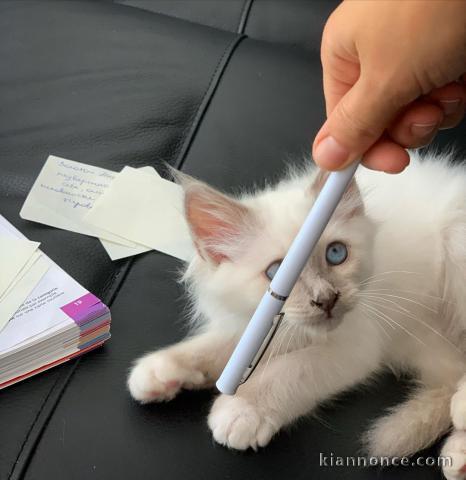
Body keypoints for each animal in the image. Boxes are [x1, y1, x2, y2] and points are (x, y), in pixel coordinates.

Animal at [128, 151, 466, 480]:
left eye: (336, 254)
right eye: (276, 273)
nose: (326, 299)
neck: (295, 332)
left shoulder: (355, 343)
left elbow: (289, 371)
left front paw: (240, 410)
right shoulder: (254, 326)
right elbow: (216, 348)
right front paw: (160, 371)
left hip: (455, 247)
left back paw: (461, 417)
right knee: (452, 373)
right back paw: (458, 454)